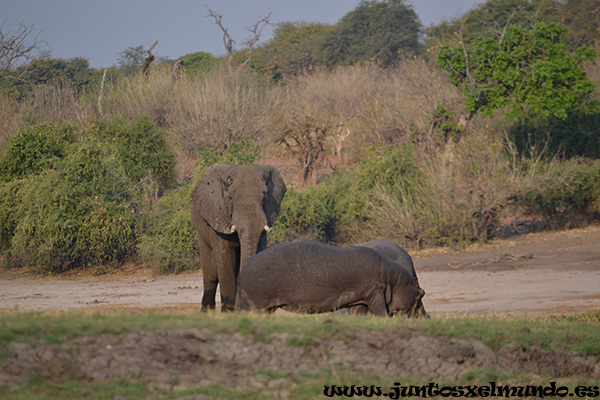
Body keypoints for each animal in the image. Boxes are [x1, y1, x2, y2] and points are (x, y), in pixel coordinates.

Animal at [192, 163, 286, 312]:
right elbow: (225, 258)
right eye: (230, 198)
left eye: (265, 197)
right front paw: (229, 312)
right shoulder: (218, 216)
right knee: (211, 274)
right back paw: (205, 312)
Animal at [236, 239, 426, 318]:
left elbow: (356, 312)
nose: (426, 317)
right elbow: (381, 310)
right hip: (256, 305)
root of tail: (242, 271)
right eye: (421, 292)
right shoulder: (376, 291)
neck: (394, 280)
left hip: (266, 307)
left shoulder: (361, 298)